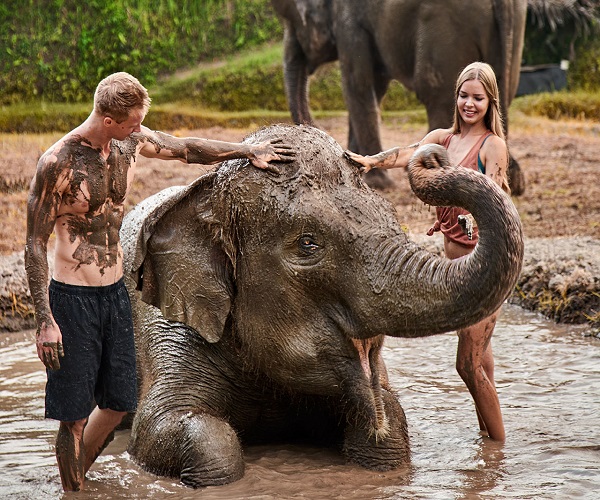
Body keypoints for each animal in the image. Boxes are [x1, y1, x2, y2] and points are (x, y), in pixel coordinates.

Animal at [119, 125, 524, 488]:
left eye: (393, 220)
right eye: (308, 243)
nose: (433, 155)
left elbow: (389, 418)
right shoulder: (168, 326)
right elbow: (162, 428)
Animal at [270, 0, 528, 194]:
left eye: (294, 21)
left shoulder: (350, 24)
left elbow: (358, 84)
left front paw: (376, 183)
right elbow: (376, 85)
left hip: (446, 30)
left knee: (434, 89)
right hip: (513, 35)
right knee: (502, 88)